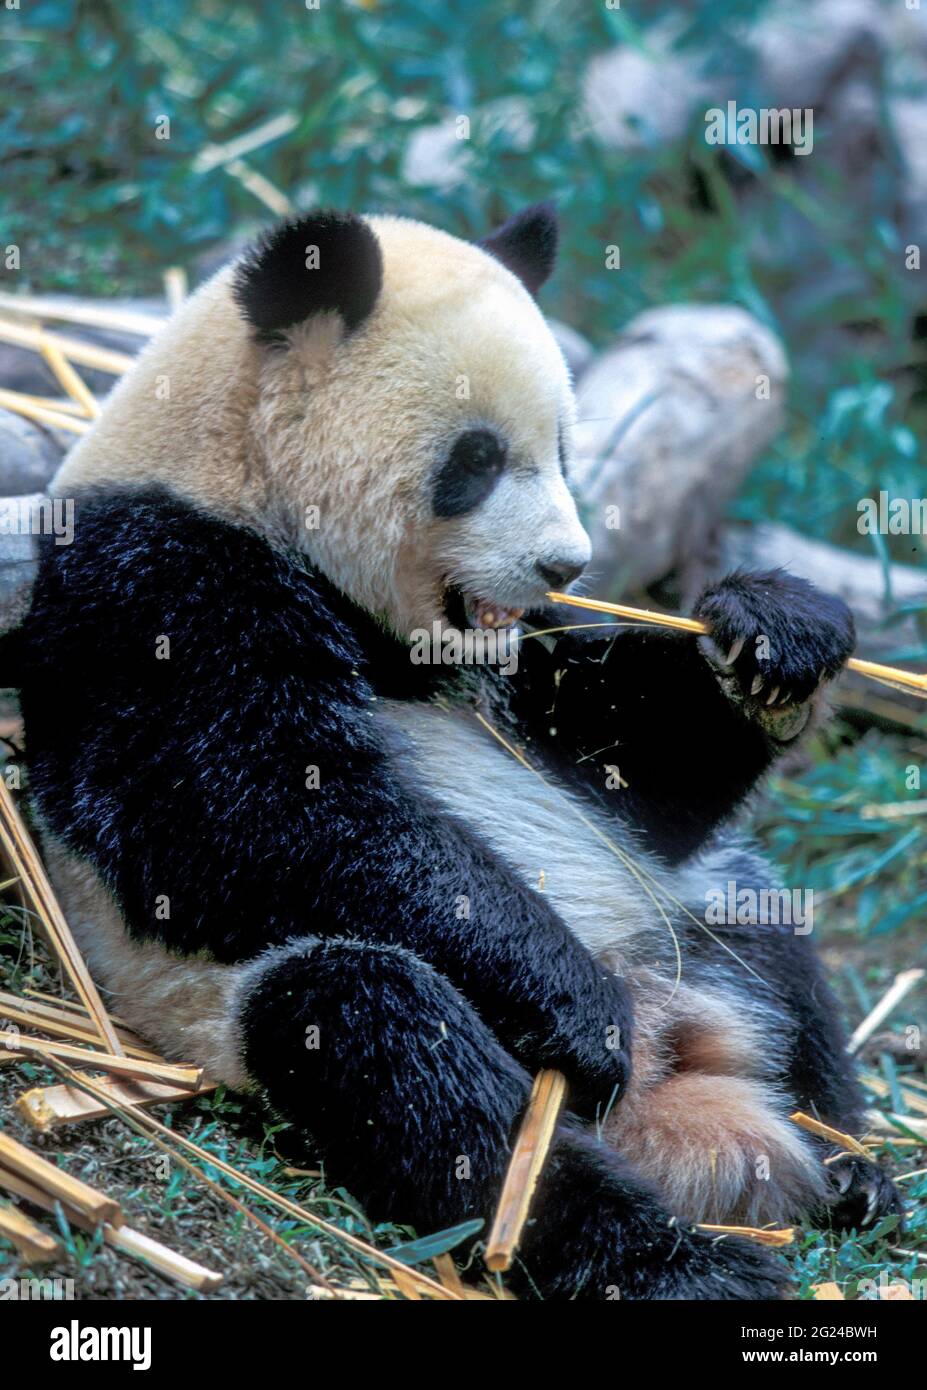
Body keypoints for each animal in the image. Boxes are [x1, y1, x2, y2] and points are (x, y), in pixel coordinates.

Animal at [3, 205, 902, 1300]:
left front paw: (773, 635)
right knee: (405, 1054)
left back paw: (850, 1169)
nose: (564, 563)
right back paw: (671, 1251)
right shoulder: (159, 585)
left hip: (681, 918)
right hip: (240, 1004)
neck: (232, 470)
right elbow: (251, 816)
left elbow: (636, 768)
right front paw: (575, 1002)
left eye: (563, 449)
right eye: (474, 461)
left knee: (771, 940)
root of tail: (673, 1099)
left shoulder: (515, 672)